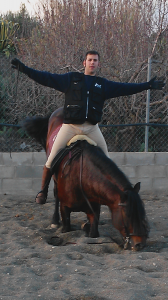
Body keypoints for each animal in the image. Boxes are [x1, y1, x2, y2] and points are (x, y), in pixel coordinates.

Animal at [23, 108, 148, 251]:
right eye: (127, 215)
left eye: (142, 213)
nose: (140, 244)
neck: (80, 177)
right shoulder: (64, 208)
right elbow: (66, 229)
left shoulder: (94, 210)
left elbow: (93, 233)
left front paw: (87, 227)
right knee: (54, 189)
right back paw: (54, 219)